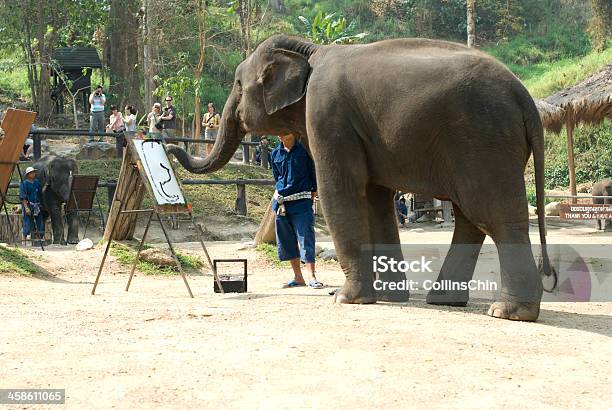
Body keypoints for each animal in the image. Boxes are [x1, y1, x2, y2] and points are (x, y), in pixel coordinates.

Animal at [167, 35, 556, 322]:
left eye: (237, 83)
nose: (169, 147)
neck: (309, 51)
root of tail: (525, 98)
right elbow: (375, 199)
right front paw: (388, 297)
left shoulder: (327, 116)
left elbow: (340, 189)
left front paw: (344, 298)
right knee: (470, 218)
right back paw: (443, 301)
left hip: (484, 142)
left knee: (494, 216)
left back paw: (507, 312)